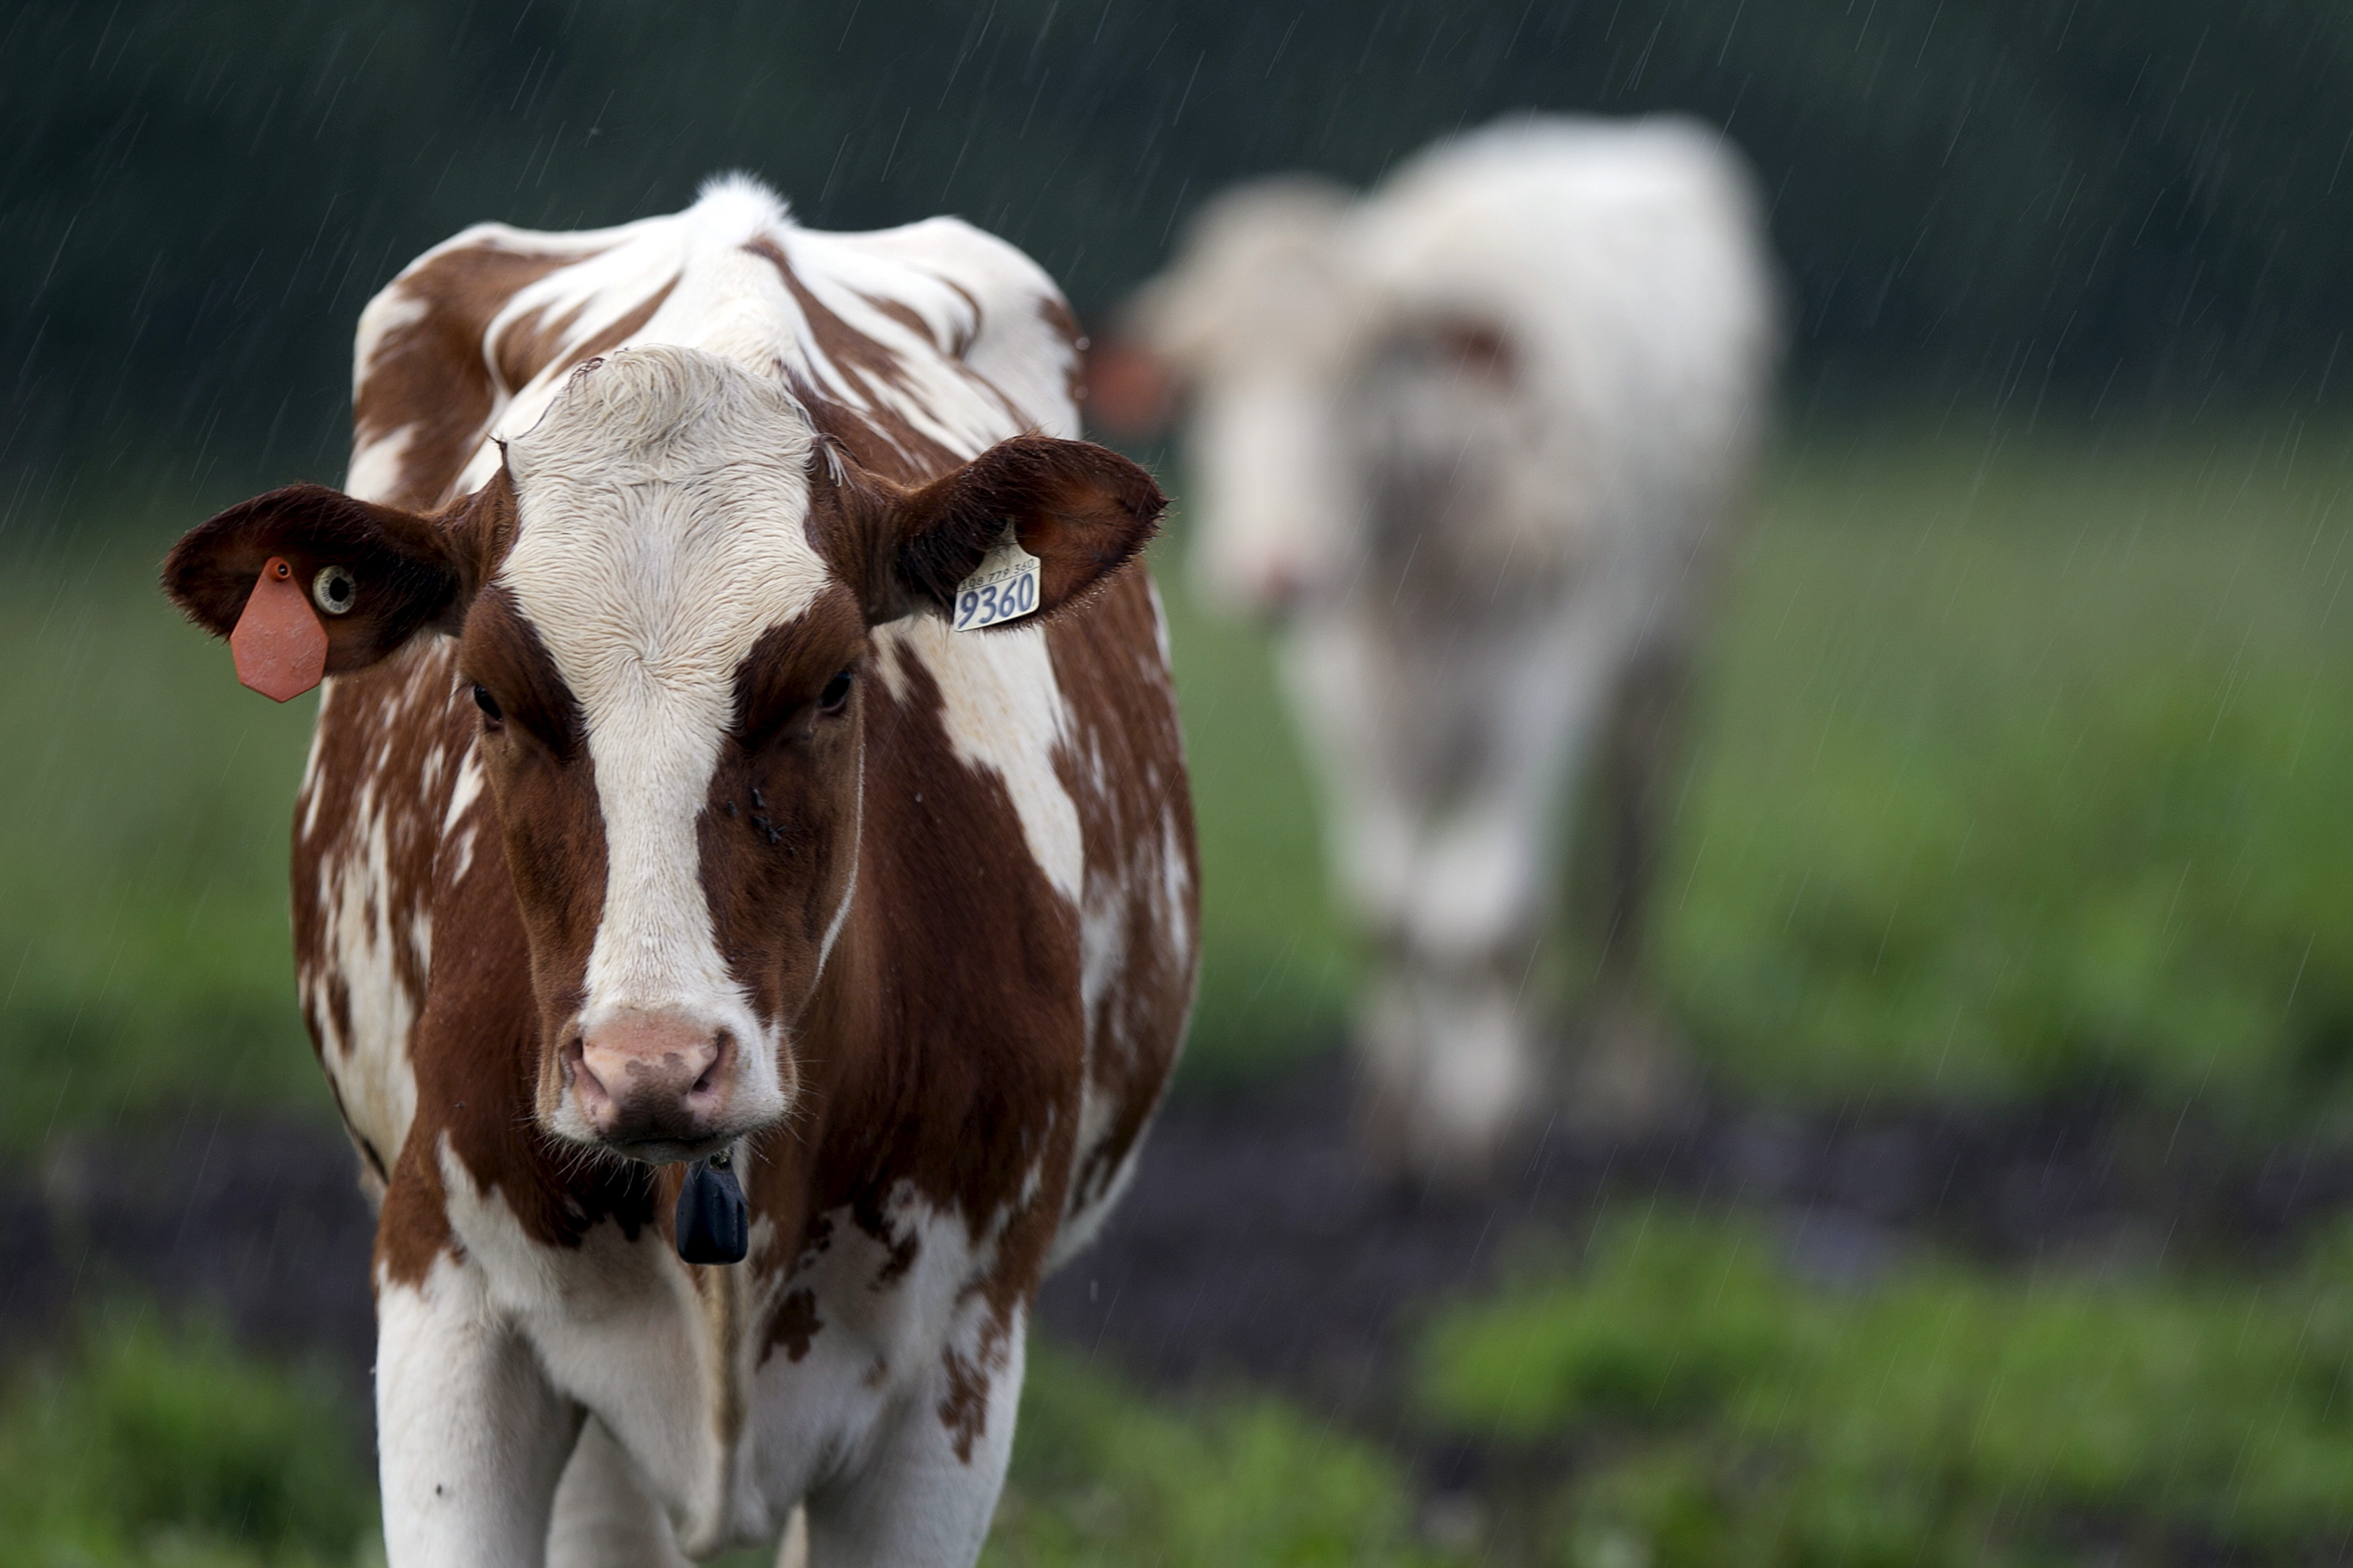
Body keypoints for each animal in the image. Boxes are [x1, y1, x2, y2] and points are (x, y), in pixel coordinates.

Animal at [1091, 115, 1777, 1180]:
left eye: (1366, 366)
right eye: (1199, 384)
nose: (1276, 568)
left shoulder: (1548, 671)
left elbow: (1485, 918)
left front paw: (1486, 1128)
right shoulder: (1345, 682)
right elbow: (1390, 910)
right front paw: (1402, 1124)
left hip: (1664, 656)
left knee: (1628, 864)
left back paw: (1622, 1087)